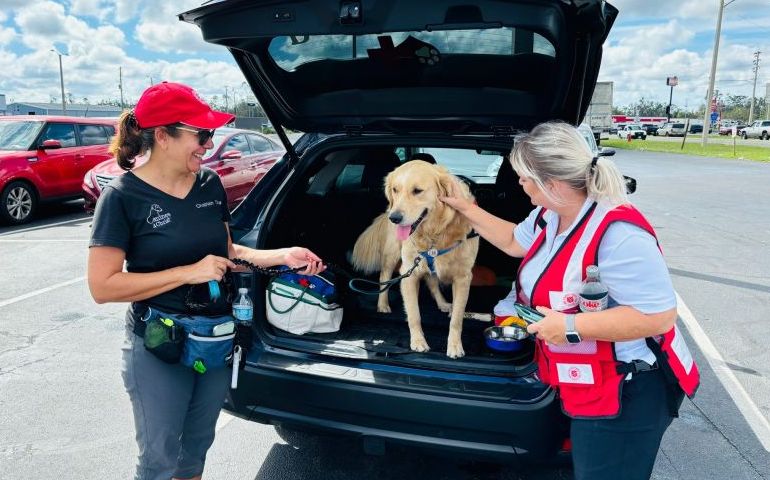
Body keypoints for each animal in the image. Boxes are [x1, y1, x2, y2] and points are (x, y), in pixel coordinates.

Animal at [352, 160, 476, 356]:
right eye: (395, 190)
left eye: (417, 190)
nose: (394, 218)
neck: (434, 233)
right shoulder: (409, 273)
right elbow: (414, 314)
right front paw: (418, 342)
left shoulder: (463, 278)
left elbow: (456, 318)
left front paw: (455, 346)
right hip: (392, 254)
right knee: (384, 276)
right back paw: (383, 305)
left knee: (432, 283)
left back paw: (443, 304)